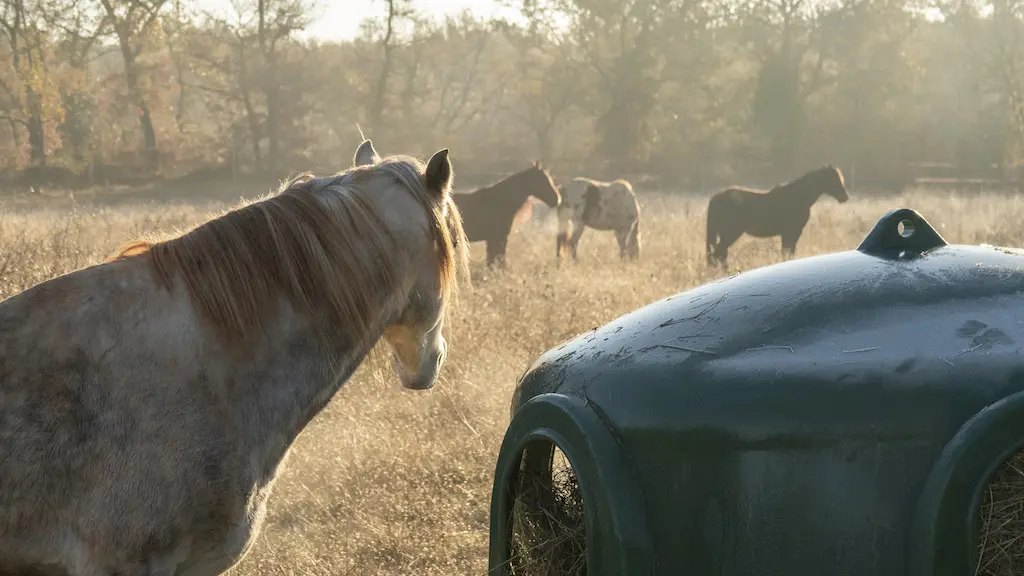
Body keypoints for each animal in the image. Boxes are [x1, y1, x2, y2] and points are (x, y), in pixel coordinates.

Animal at [704, 163, 847, 266]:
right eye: (834, 179)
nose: (845, 197)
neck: (799, 196)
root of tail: (715, 198)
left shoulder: (788, 234)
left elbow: (786, 253)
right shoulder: (792, 232)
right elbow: (788, 253)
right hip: (730, 234)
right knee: (718, 255)